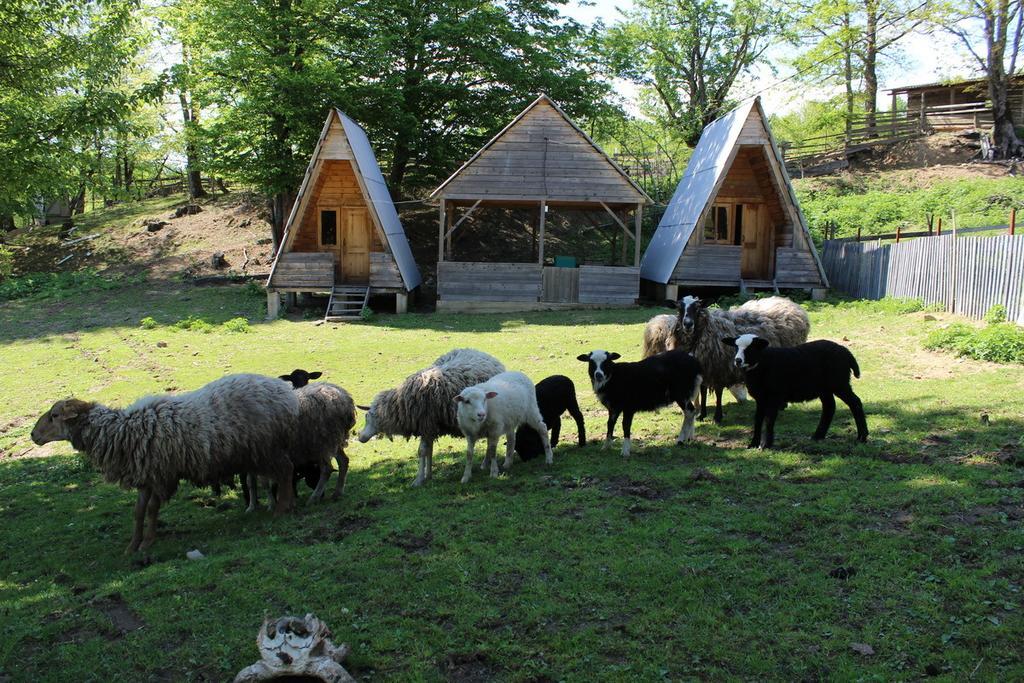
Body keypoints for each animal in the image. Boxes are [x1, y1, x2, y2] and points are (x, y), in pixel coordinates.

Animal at [29, 374, 299, 557]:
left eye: (54, 416)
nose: (33, 435)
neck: (120, 431)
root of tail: (285, 392)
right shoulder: (145, 476)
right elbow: (138, 512)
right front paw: (132, 545)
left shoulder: (161, 473)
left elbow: (151, 510)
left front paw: (148, 542)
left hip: (268, 448)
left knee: (286, 473)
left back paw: (281, 509)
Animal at [358, 350, 505, 489]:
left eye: (369, 416)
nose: (360, 437)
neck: (404, 402)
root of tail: (483, 353)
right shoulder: (429, 428)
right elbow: (429, 449)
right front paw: (428, 475)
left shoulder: (427, 425)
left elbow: (422, 451)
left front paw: (418, 479)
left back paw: (486, 463)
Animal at [720, 335, 872, 450]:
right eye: (736, 347)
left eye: (751, 348)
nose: (738, 361)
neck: (763, 363)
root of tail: (846, 352)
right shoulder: (761, 398)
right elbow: (758, 419)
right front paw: (753, 444)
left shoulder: (775, 395)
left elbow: (769, 419)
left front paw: (765, 444)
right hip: (825, 388)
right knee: (829, 407)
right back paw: (818, 436)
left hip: (839, 383)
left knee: (855, 402)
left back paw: (862, 436)